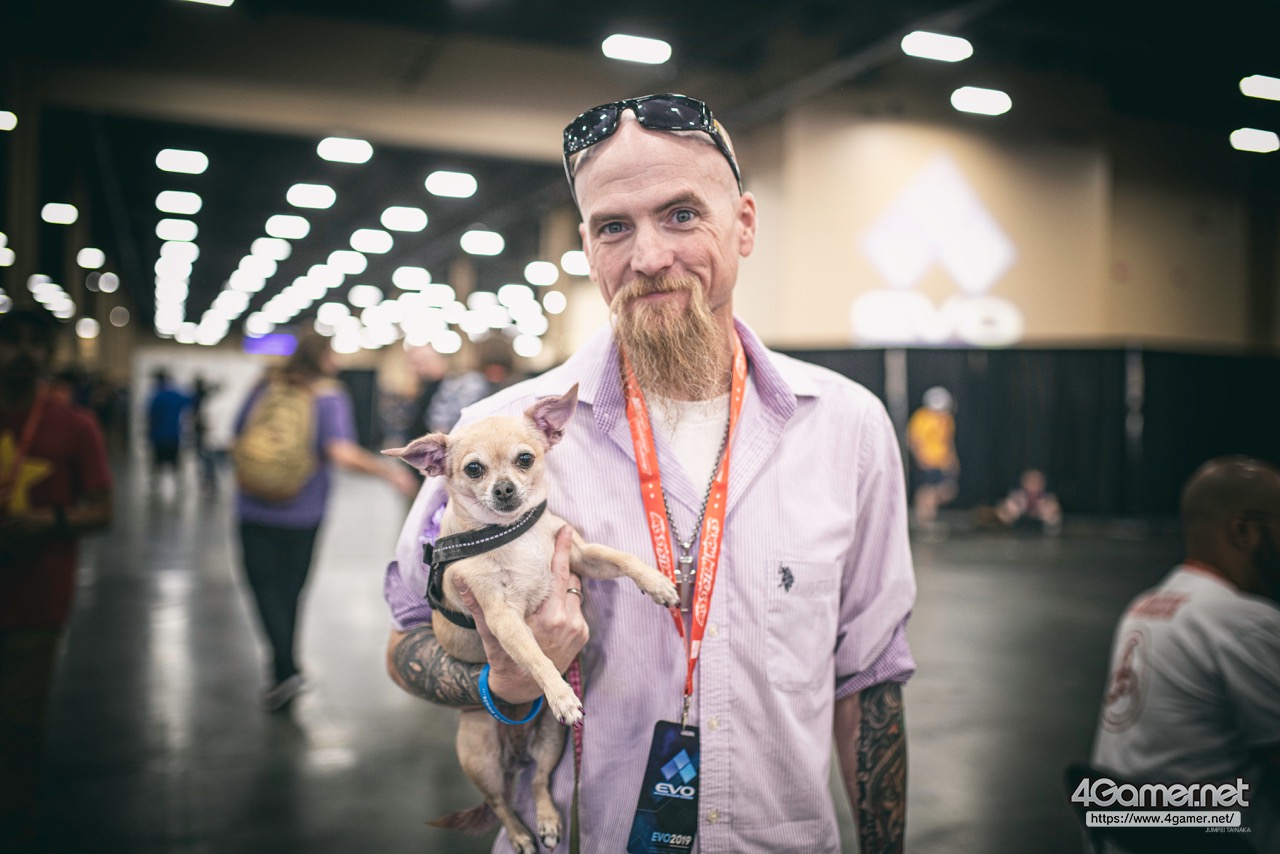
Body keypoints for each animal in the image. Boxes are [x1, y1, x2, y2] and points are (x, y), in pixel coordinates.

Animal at [383, 384, 677, 852]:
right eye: (473, 469)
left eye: (525, 459)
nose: (504, 489)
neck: (511, 535)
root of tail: (516, 749)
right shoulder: (502, 617)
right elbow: (537, 657)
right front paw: (560, 694)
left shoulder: (580, 555)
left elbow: (621, 557)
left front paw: (658, 583)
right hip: (480, 755)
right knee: (500, 802)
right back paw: (521, 833)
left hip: (551, 743)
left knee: (539, 783)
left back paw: (549, 821)